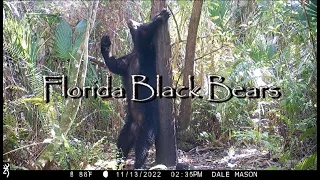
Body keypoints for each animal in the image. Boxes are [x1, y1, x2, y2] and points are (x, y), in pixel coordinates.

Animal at [100, 8, 171, 169]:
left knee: (143, 145)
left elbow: (148, 35)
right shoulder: (128, 62)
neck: (137, 53)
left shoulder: (145, 60)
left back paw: (138, 164)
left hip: (148, 124)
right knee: (122, 144)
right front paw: (105, 42)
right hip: (128, 127)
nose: (130, 20)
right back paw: (118, 162)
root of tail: (137, 125)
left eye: (139, 24)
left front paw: (161, 16)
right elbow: (114, 65)